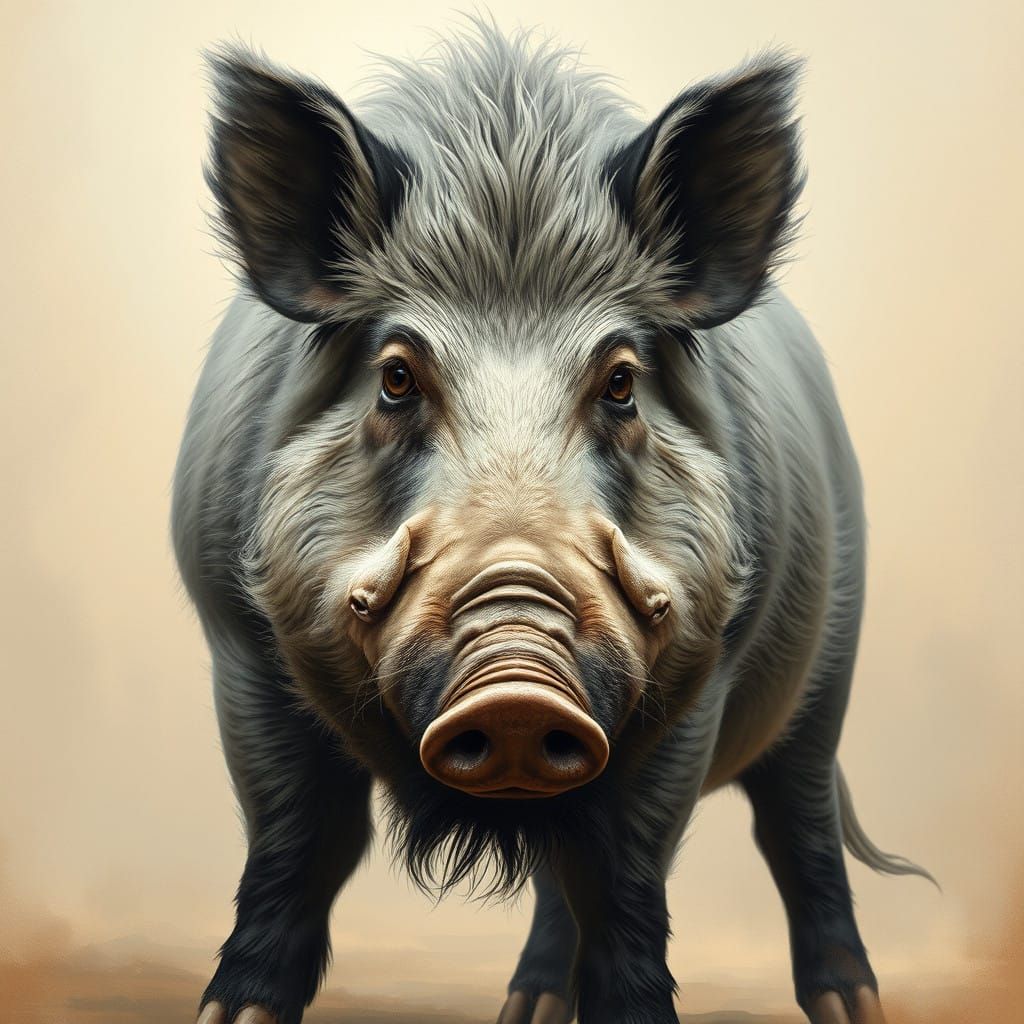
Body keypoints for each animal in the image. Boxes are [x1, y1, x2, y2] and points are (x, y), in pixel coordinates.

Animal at [172, 20, 932, 1024]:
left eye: (619, 382)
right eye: (397, 376)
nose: (518, 688)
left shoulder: (701, 681)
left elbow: (625, 880)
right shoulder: (240, 649)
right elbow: (297, 848)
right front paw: (233, 1014)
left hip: (828, 671)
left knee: (795, 824)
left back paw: (856, 1006)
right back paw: (524, 1008)